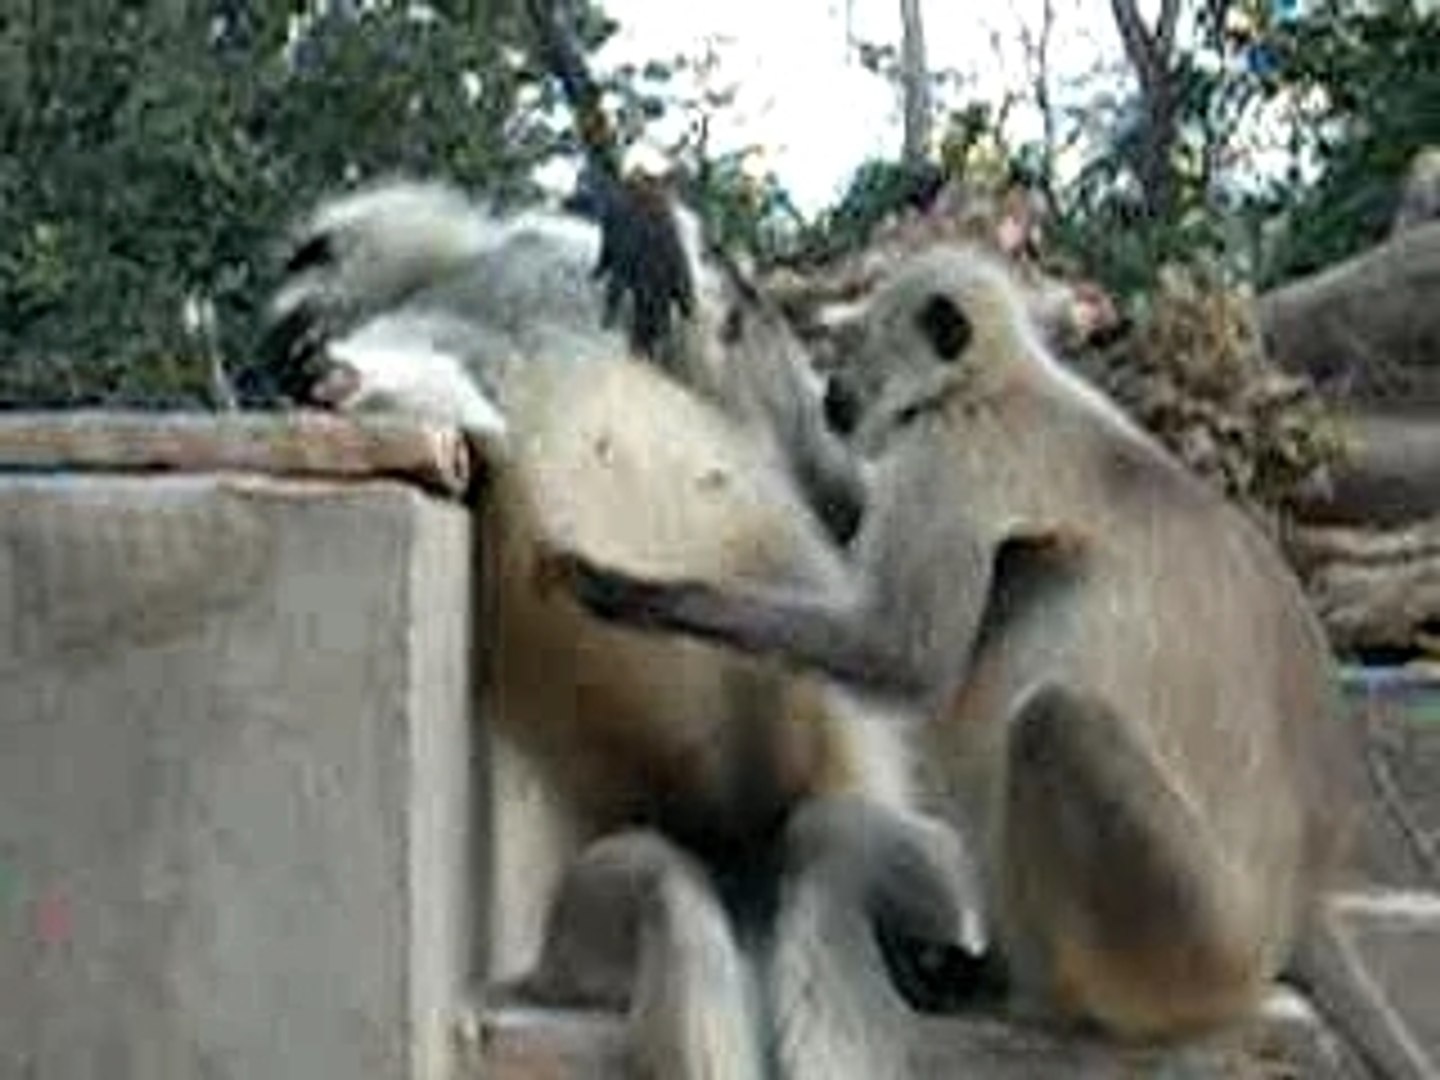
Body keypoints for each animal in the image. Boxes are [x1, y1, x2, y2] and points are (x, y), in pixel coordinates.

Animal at [538, 246, 1437, 1078]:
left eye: (858, 345)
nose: (836, 394)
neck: (1002, 381)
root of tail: (1300, 900)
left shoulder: (954, 448)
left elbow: (904, 658)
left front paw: (644, 593)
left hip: (1196, 937)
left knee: (1047, 714)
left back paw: (1034, 1001)